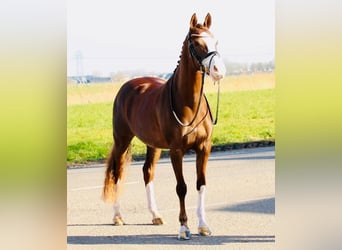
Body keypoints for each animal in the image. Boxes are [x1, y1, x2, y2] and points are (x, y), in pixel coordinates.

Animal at [103, 13, 226, 240]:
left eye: (216, 41)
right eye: (197, 43)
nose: (218, 71)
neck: (188, 104)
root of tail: (127, 86)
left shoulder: (204, 148)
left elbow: (200, 184)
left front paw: (203, 226)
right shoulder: (176, 151)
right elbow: (182, 187)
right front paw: (184, 228)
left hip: (153, 145)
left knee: (147, 171)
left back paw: (155, 215)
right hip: (122, 139)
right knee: (117, 172)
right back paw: (117, 216)